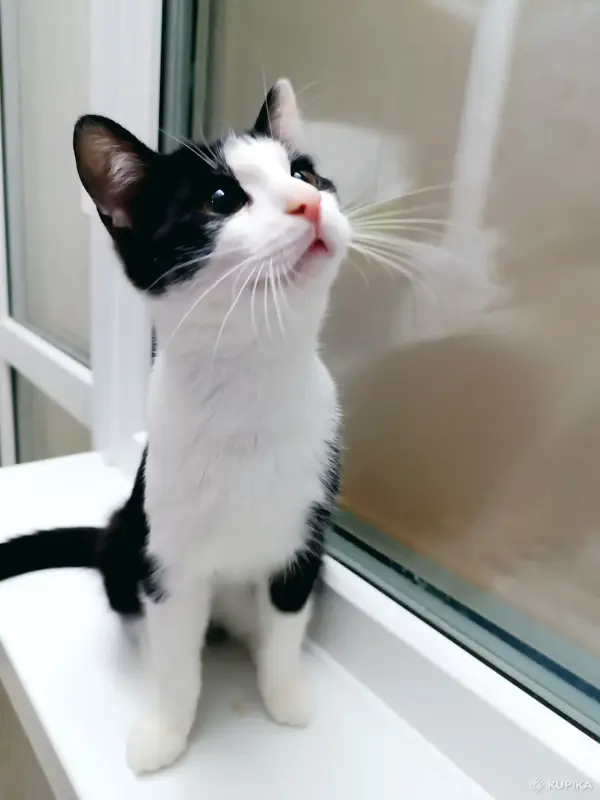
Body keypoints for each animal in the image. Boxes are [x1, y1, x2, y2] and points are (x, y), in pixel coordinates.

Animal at [0, 79, 351, 774]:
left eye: (302, 172)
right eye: (221, 199)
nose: (307, 203)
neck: (251, 382)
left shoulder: (306, 537)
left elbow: (286, 623)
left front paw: (285, 696)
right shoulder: (168, 560)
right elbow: (176, 659)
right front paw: (165, 729)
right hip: (126, 536)